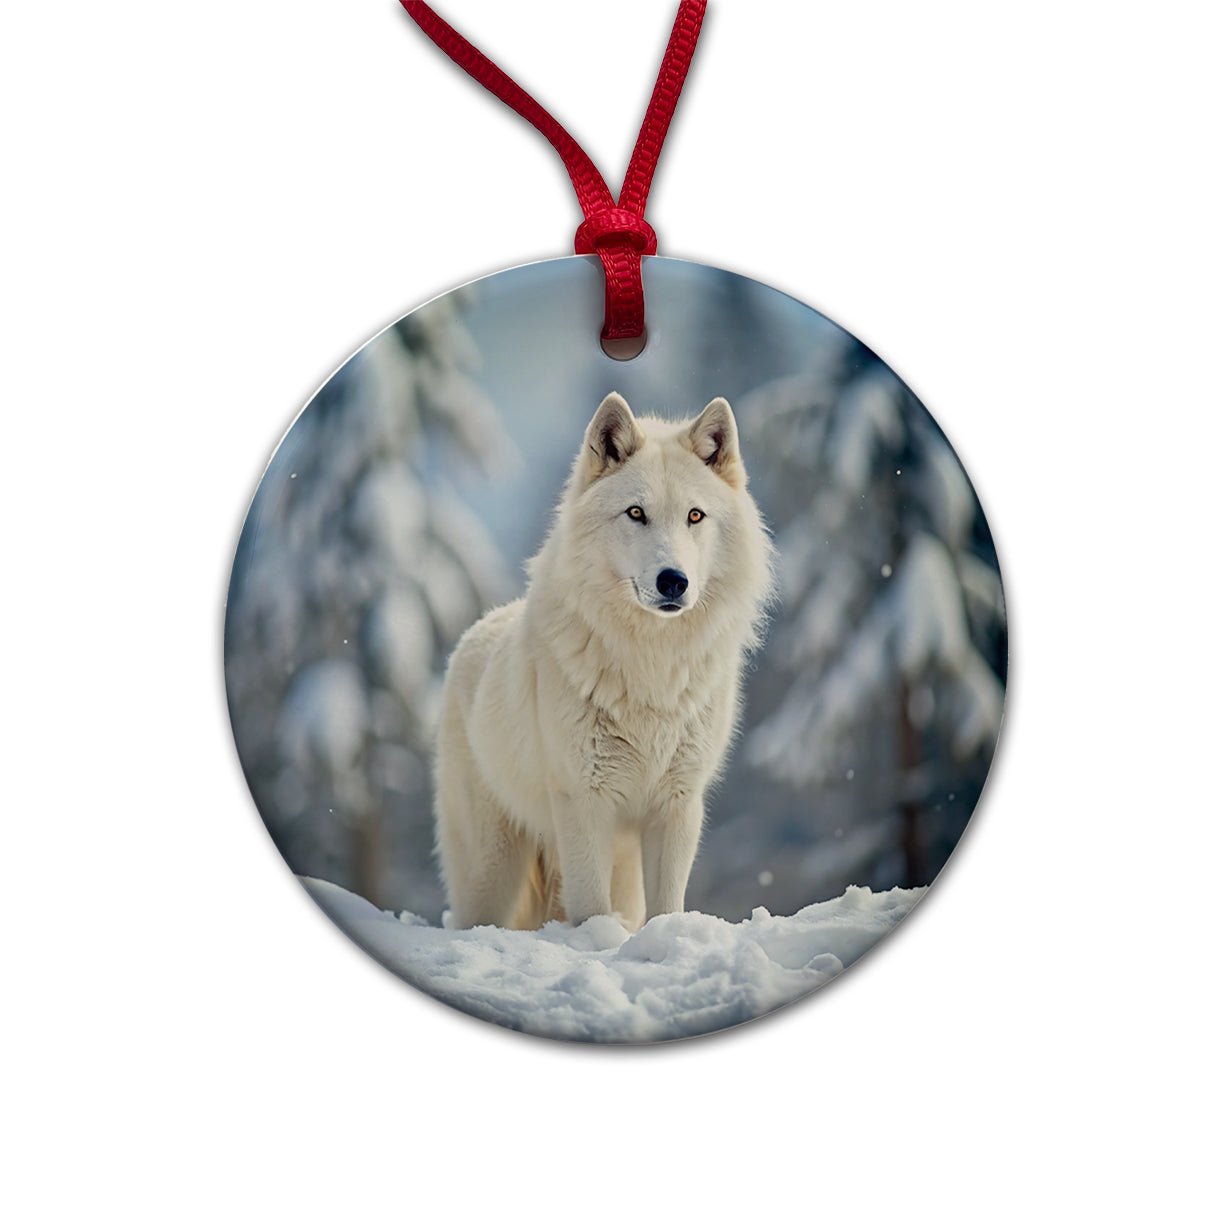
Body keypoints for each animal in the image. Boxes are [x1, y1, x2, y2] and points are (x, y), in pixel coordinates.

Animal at [434, 392, 774, 931]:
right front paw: (597, 942)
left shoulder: (677, 805)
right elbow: (591, 908)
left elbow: (666, 907)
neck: (652, 667)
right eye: (636, 512)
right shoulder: (584, 802)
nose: (673, 580)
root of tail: (477, 630)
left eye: (695, 516)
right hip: (493, 871)